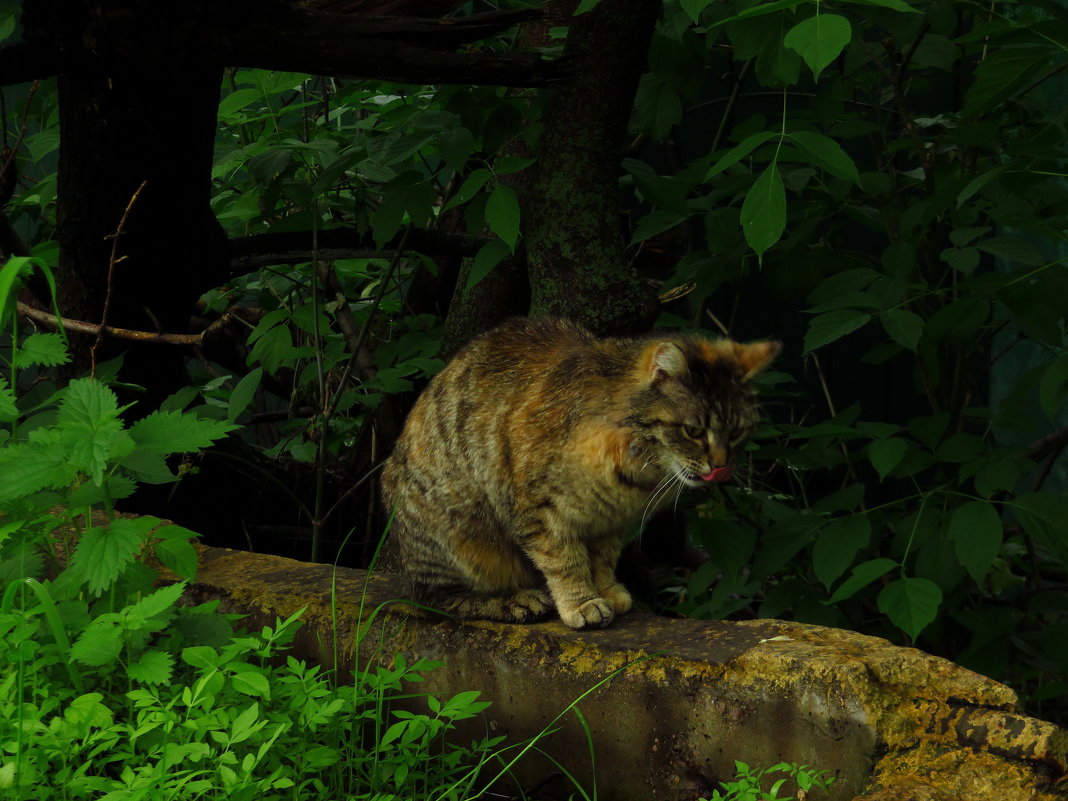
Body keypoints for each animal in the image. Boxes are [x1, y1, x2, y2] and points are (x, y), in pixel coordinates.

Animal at [380, 316, 781, 632]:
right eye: (694, 431)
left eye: (737, 432)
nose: (722, 467)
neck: (637, 473)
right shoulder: (538, 510)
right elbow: (564, 560)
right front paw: (581, 602)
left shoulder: (610, 519)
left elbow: (601, 558)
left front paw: (606, 589)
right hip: (457, 532)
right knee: (434, 598)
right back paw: (515, 600)